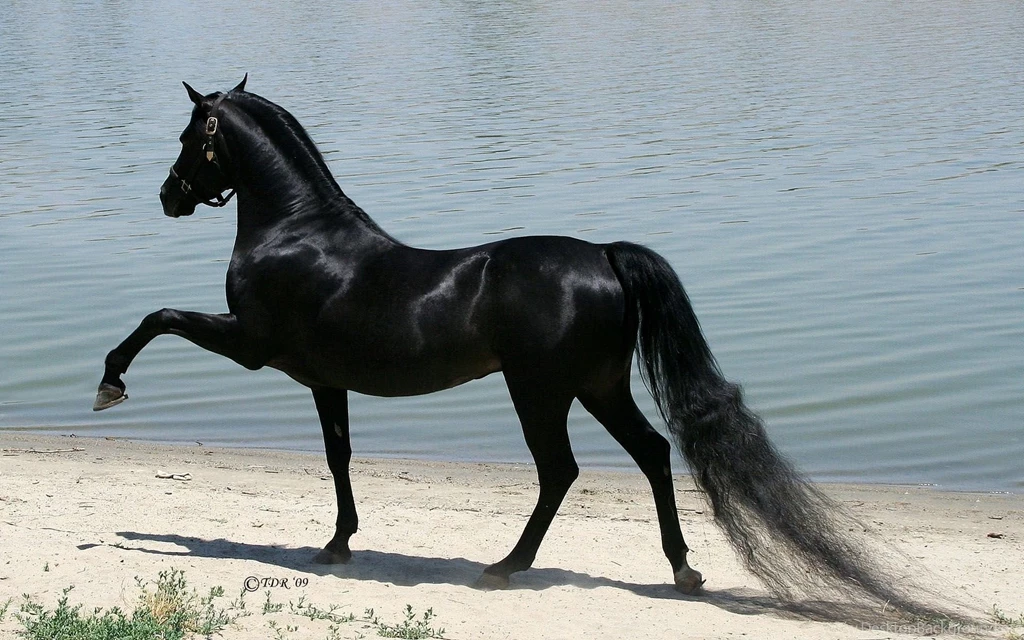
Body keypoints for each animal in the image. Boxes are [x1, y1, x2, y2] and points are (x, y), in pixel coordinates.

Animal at [93, 77, 937, 610]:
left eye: (189, 135)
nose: (168, 196)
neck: (298, 233)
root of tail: (604, 255)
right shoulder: (323, 379)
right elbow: (339, 457)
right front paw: (337, 543)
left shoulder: (252, 344)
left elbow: (158, 317)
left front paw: (110, 383)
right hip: (598, 387)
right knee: (652, 453)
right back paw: (682, 571)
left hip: (540, 392)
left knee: (561, 471)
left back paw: (508, 566)